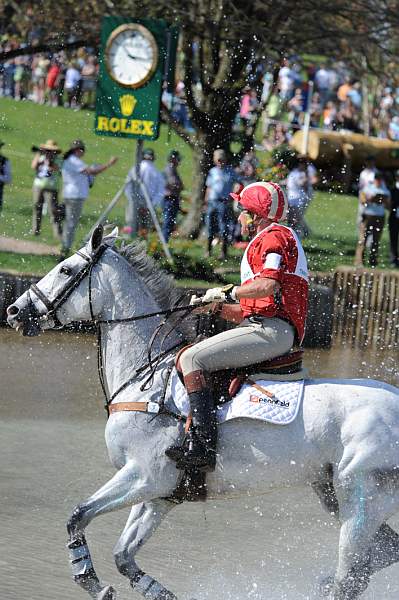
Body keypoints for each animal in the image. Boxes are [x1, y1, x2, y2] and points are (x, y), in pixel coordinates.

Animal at [6, 226, 399, 600]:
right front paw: (160, 593)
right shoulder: (161, 493)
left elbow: (78, 516)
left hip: (361, 500)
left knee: (350, 577)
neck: (145, 377)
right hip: (332, 492)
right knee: (381, 556)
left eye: (65, 269)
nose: (13, 311)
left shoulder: (144, 475)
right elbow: (123, 555)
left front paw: (93, 583)